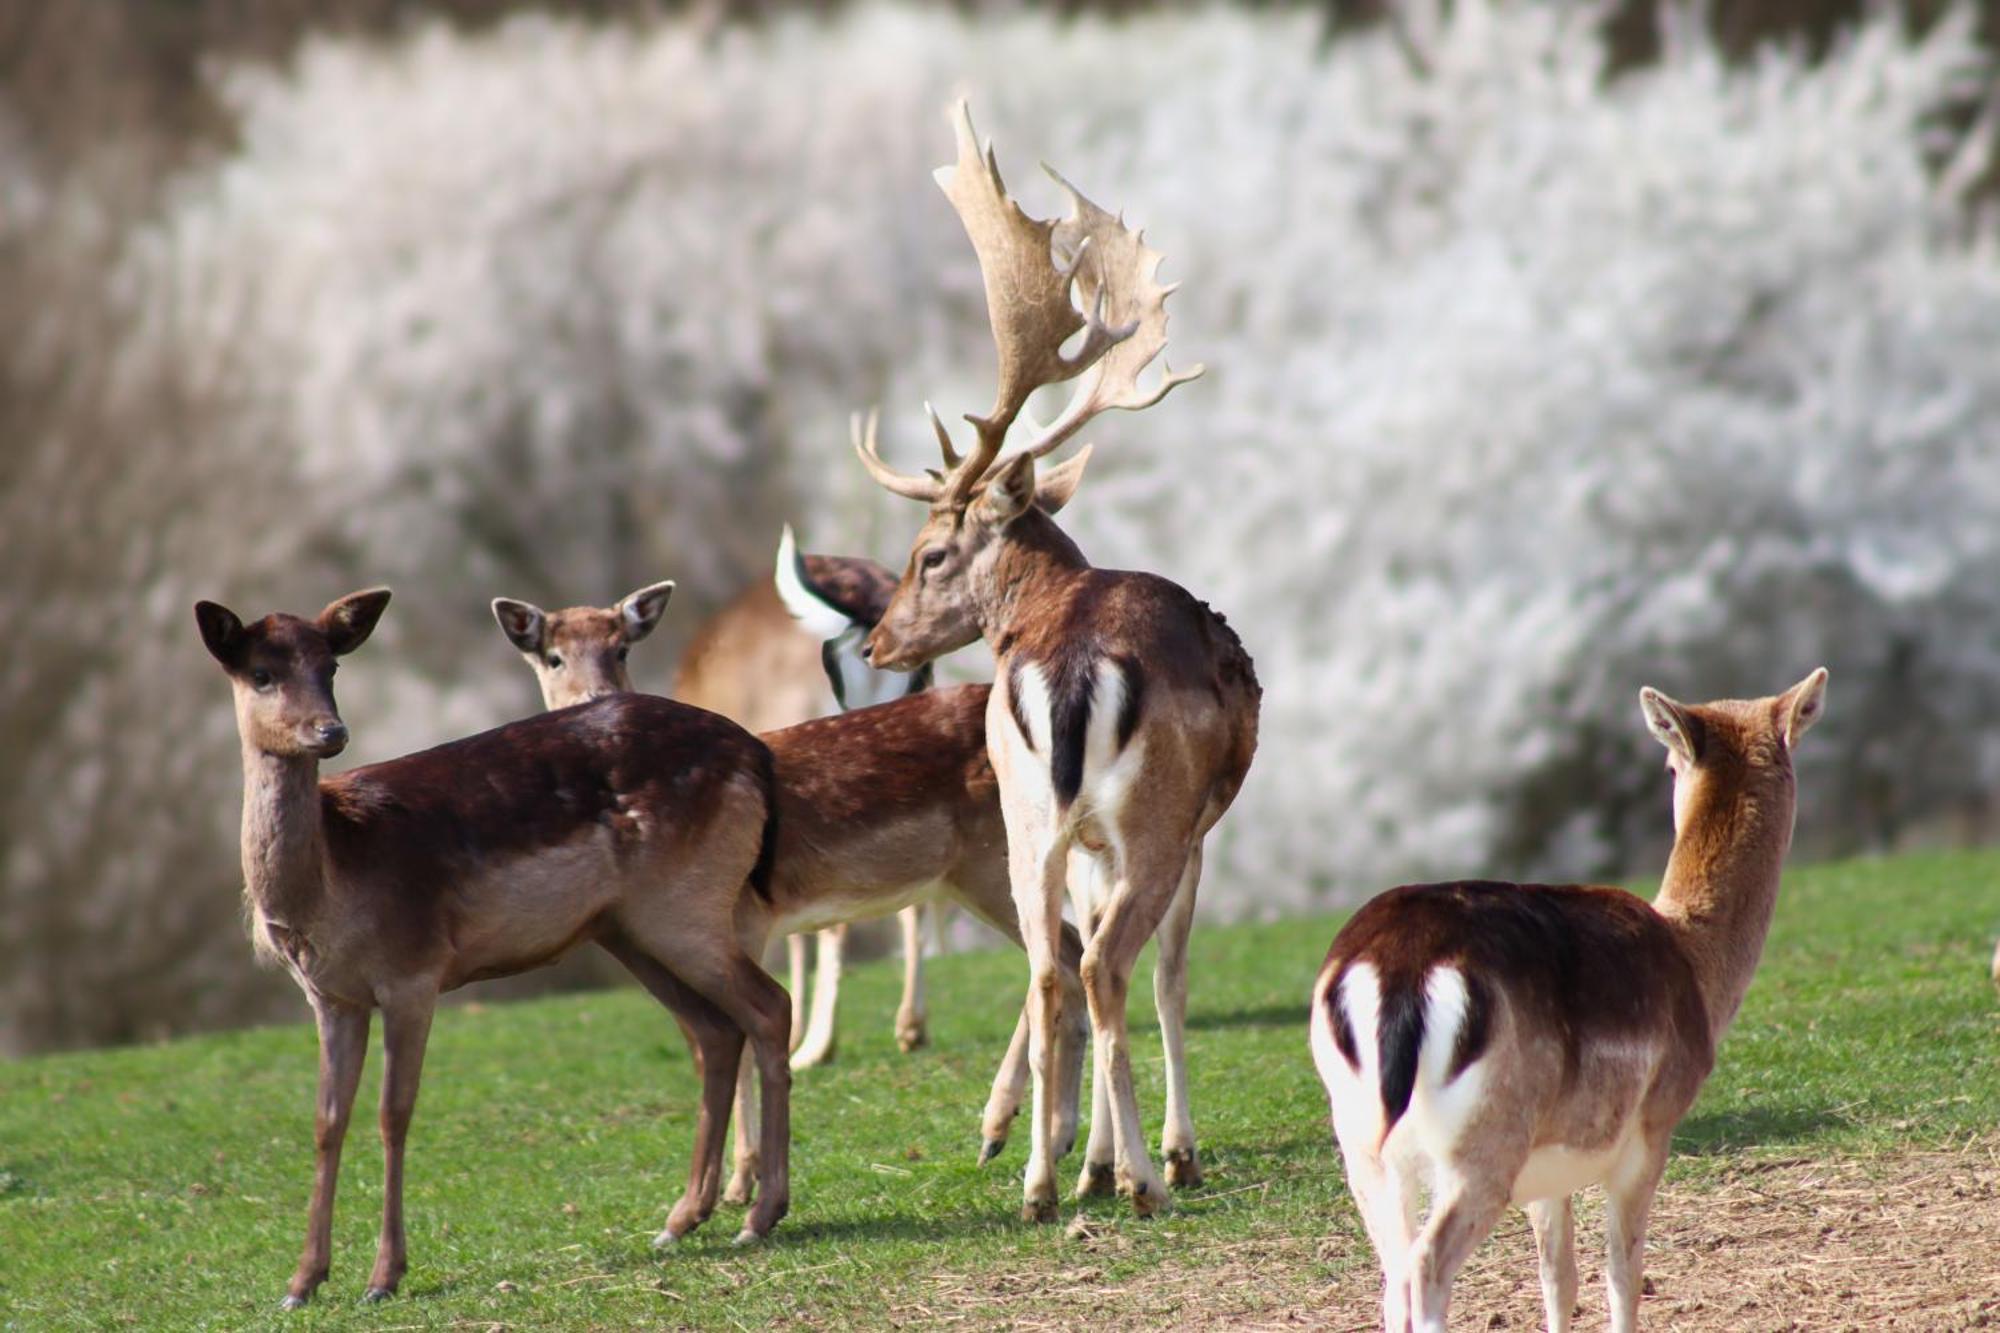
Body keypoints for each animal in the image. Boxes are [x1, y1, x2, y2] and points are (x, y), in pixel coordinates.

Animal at [197, 588, 796, 1304]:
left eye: (331, 666)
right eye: (261, 672)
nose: (329, 731)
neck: (332, 885)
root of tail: (755, 754)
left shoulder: (412, 972)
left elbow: (393, 1113)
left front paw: (383, 1277)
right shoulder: (330, 997)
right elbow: (325, 1121)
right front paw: (302, 1282)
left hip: (688, 906)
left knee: (769, 1006)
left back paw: (761, 1216)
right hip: (632, 929)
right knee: (715, 1031)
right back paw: (680, 1221)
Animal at [848, 104, 1256, 1216]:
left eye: (928, 554)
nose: (879, 638)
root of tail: (1068, 667)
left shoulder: (1073, 834)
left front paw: (1062, 1147)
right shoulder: (1191, 831)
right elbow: (1171, 976)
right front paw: (1162, 1151)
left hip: (1026, 811)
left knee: (1048, 964)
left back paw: (1038, 1179)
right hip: (1149, 815)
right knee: (1107, 965)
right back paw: (1137, 1182)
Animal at [1304, 676, 1832, 1328]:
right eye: (1667, 763)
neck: (1694, 961)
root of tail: (1399, 969)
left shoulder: (1548, 1172)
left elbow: (1558, 1277)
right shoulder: (1650, 1133)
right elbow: (1623, 1274)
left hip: (1362, 1144)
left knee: (1392, 1273)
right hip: (1484, 1145)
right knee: (1426, 1265)